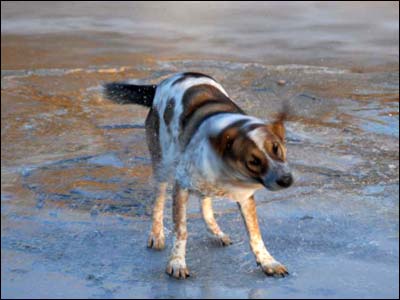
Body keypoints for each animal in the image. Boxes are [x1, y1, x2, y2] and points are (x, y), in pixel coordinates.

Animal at [104, 72, 294, 278]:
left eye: (276, 148)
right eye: (254, 161)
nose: (286, 180)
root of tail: (159, 86)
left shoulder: (244, 196)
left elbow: (255, 234)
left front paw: (268, 262)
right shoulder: (181, 185)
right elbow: (181, 231)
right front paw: (177, 263)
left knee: (205, 202)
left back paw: (215, 232)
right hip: (162, 163)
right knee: (159, 201)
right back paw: (156, 235)